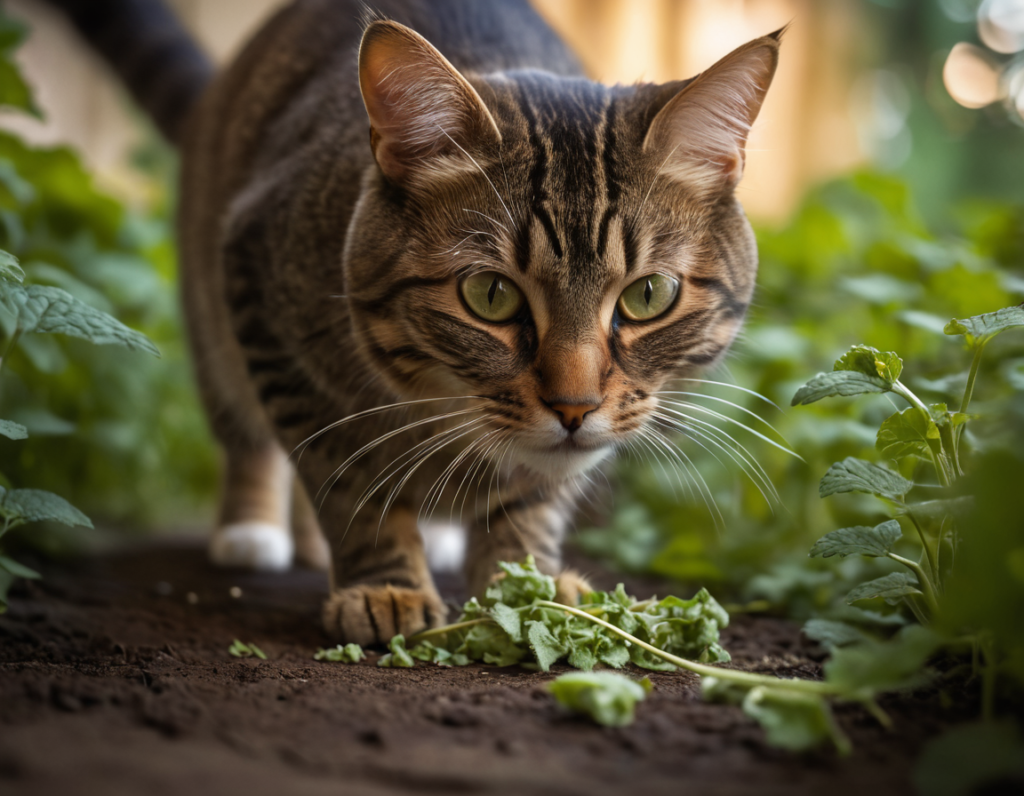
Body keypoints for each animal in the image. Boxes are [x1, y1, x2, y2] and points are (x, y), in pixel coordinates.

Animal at [51, 0, 778, 639]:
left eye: (648, 294)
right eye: (490, 295)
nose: (574, 407)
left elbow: (533, 503)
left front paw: (529, 587)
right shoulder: (263, 286)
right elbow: (345, 479)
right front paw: (385, 588)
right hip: (213, 323)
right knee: (249, 435)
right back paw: (254, 532)